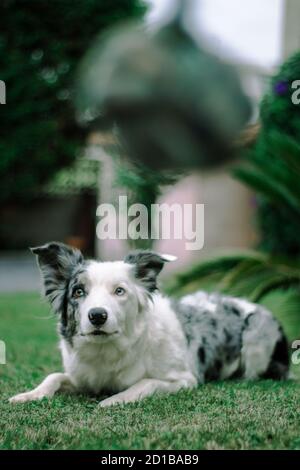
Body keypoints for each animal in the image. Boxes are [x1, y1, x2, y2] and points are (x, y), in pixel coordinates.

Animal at [9, 242, 288, 408]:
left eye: (119, 291)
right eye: (78, 292)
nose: (97, 316)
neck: (109, 350)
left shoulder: (185, 379)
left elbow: (146, 383)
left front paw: (114, 400)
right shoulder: (83, 376)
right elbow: (54, 376)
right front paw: (29, 395)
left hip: (257, 334)